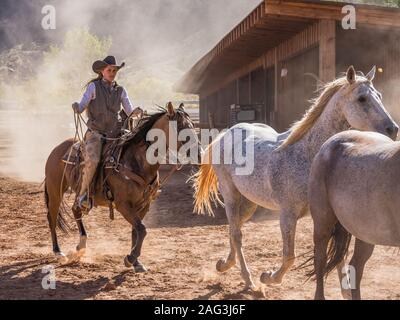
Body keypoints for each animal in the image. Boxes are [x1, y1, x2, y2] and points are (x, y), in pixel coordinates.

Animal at [44, 102, 198, 270]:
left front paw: (136, 262)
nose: (199, 152)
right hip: (55, 191)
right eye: (180, 128)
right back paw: (58, 252)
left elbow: (137, 230)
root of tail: (57, 149)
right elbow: (142, 229)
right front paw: (130, 258)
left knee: (75, 209)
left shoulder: (144, 205)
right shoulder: (123, 205)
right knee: (52, 217)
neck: (136, 162)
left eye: (192, 125)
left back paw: (81, 245)